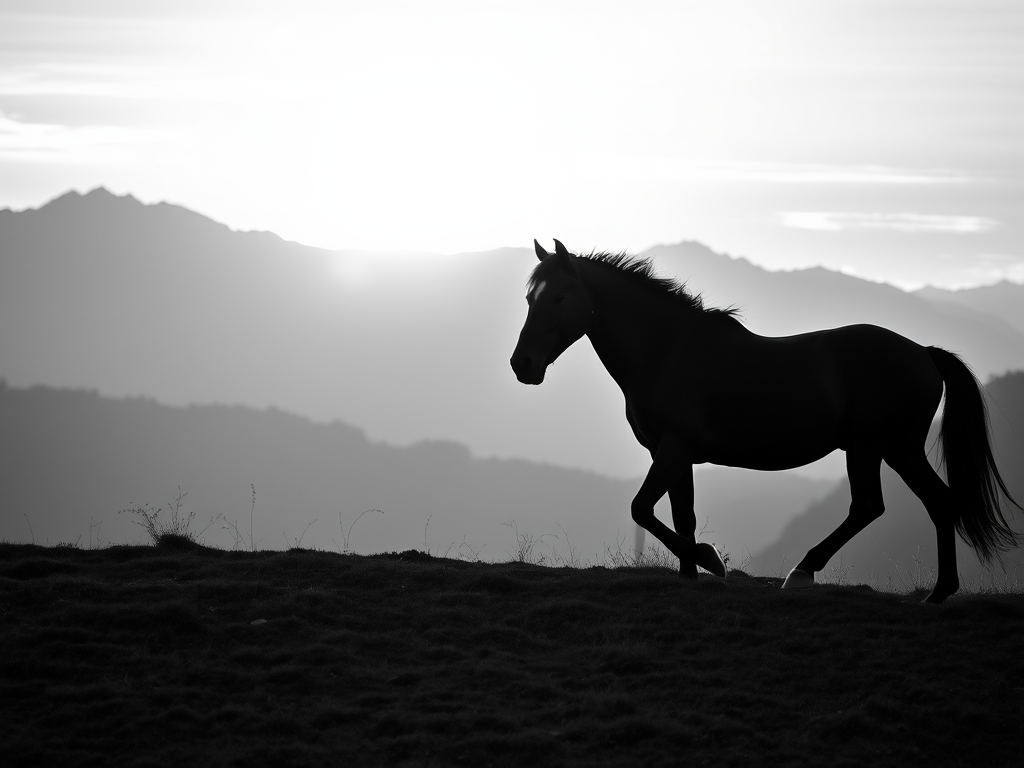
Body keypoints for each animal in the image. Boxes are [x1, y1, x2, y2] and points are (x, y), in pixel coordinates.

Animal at [510, 239, 1020, 603]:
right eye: (529, 297)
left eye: (558, 297)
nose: (522, 364)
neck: (668, 350)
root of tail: (924, 353)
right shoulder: (675, 454)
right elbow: (681, 515)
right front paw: (691, 576)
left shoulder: (672, 450)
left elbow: (642, 509)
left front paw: (710, 562)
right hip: (878, 448)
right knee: (902, 505)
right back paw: (932, 592)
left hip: (888, 446)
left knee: (898, 504)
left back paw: (813, 574)